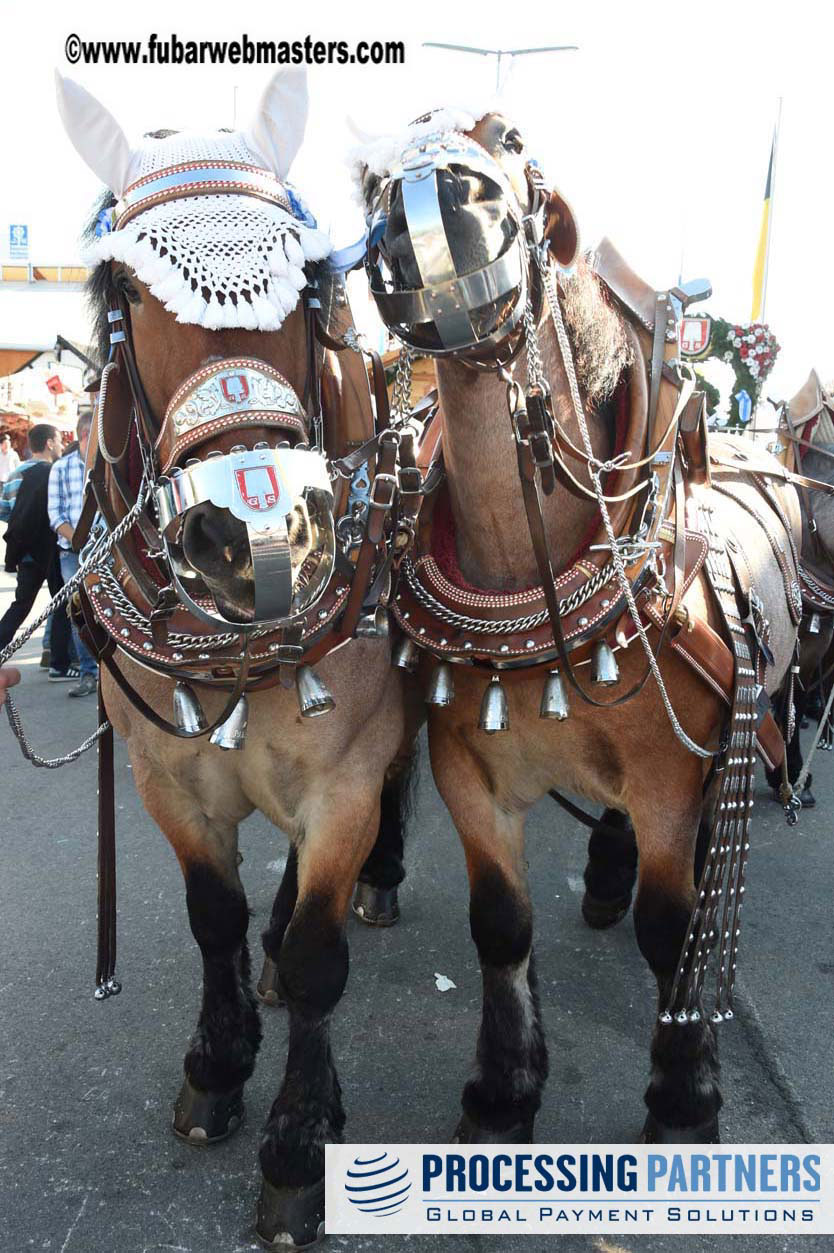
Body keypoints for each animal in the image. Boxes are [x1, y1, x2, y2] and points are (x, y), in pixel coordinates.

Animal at [58, 73, 415, 1247]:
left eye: (309, 286)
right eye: (125, 289)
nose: (252, 529)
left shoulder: (344, 776)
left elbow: (315, 959)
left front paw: (300, 1142)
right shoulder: (164, 776)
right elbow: (213, 917)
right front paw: (217, 1066)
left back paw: (380, 881)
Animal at [358, 115, 801, 1147]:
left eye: (511, 140)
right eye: (371, 179)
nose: (432, 202)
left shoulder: (673, 775)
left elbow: (672, 931)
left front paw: (684, 1096)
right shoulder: (470, 772)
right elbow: (500, 924)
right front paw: (502, 1091)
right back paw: (602, 875)